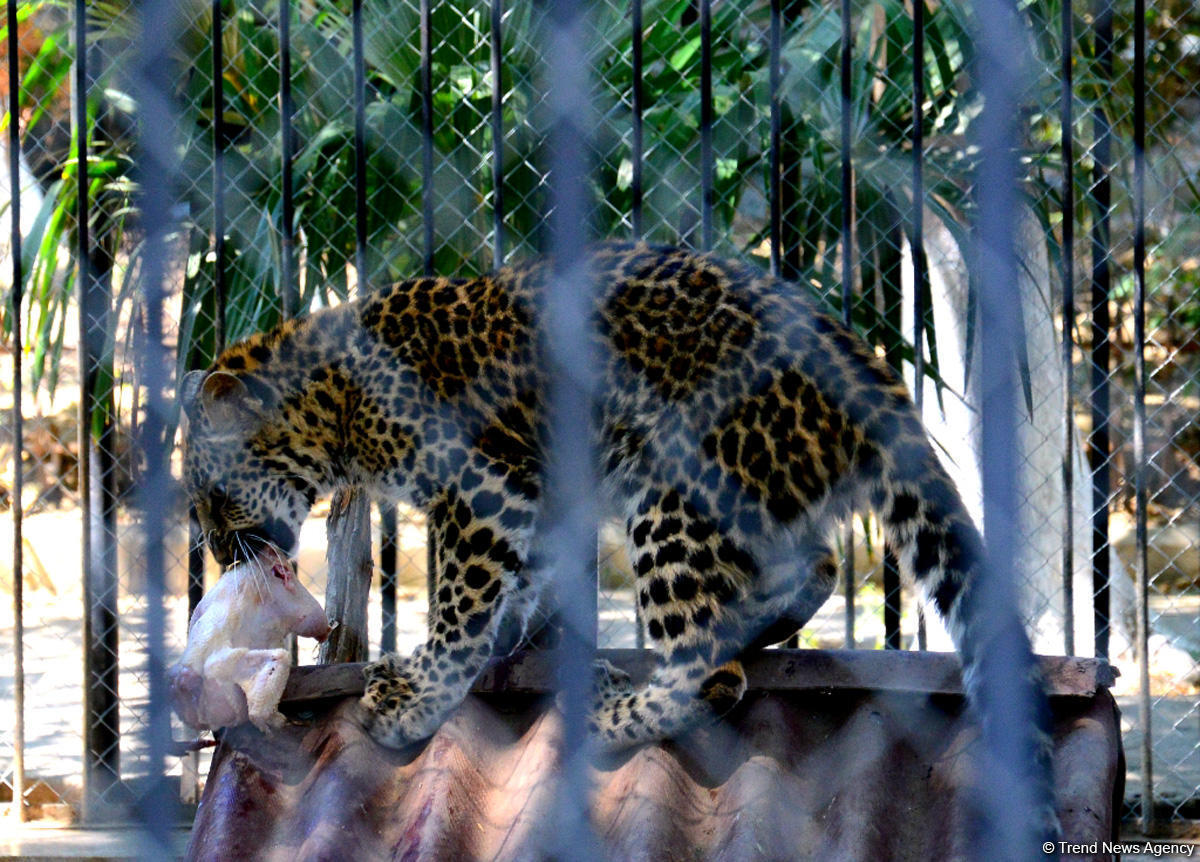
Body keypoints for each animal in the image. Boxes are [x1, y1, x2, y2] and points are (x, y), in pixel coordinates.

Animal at [177, 242, 1051, 792]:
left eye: (210, 498)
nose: (219, 553)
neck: (337, 404)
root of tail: (860, 363)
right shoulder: (539, 496)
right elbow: (523, 580)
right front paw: (511, 639)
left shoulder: (485, 489)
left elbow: (463, 605)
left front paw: (417, 698)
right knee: (819, 567)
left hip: (673, 494)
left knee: (709, 672)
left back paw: (613, 711)